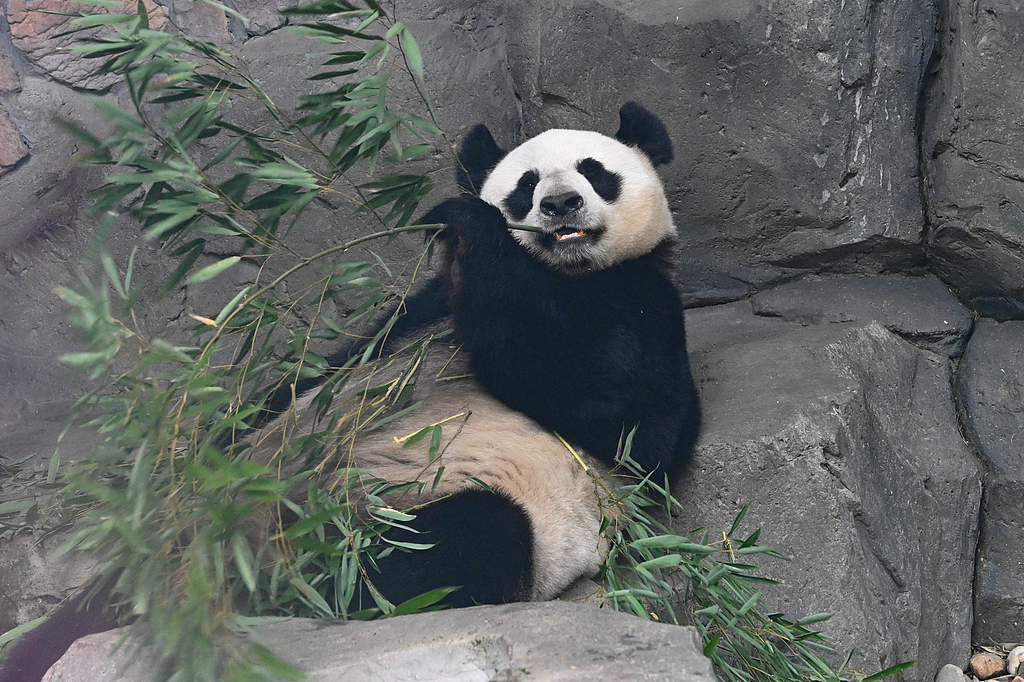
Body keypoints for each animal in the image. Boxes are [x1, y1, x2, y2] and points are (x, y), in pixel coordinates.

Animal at [0, 102, 699, 682]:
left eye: (594, 172)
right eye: (525, 184)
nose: (558, 206)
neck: (562, 273)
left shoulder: (639, 303)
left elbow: (622, 414)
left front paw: (465, 221)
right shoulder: (412, 316)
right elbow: (312, 378)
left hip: (440, 507)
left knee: (451, 547)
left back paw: (290, 596)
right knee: (106, 596)